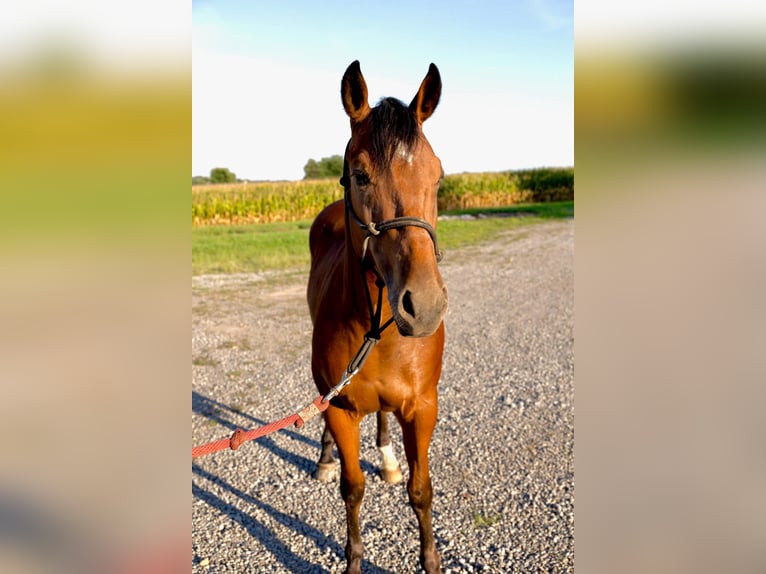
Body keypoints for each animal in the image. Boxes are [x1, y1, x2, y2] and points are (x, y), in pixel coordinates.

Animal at [307, 61, 447, 574]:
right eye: (360, 175)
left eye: (438, 176)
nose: (423, 305)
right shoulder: (342, 409)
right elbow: (352, 489)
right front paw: (352, 561)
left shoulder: (423, 408)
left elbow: (421, 491)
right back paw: (325, 459)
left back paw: (386, 457)